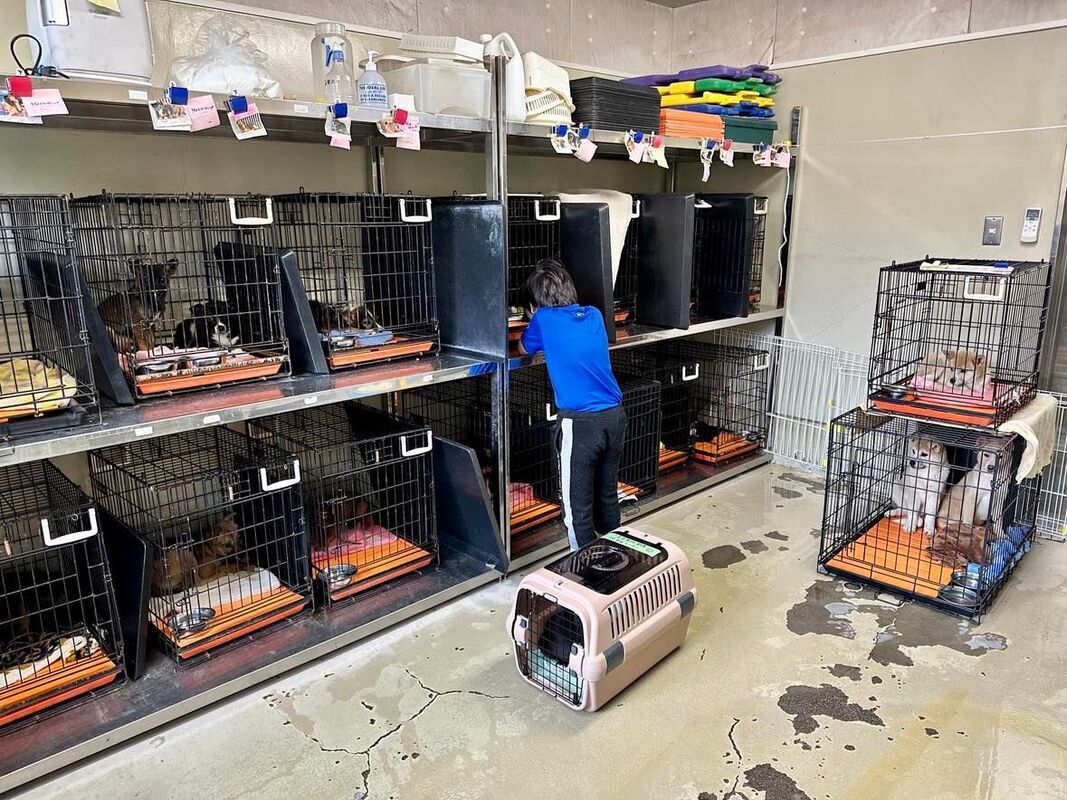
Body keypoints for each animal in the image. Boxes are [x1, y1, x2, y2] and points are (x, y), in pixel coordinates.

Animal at [71, 196, 290, 398]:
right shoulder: (140, 328)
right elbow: (147, 347)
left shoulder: (150, 328)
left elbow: (152, 345)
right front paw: (152, 357)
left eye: (162, 279)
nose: (155, 287)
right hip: (113, 332)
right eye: (145, 280)